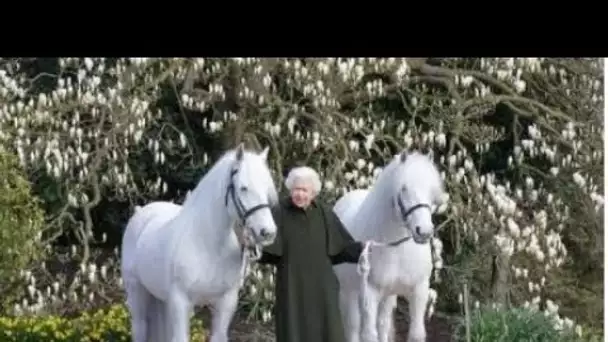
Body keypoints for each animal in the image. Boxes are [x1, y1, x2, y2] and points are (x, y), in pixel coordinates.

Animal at [119, 144, 280, 342]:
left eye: (267, 189)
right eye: (244, 188)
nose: (268, 232)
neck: (208, 245)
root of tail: (141, 212)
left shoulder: (225, 304)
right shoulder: (180, 302)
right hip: (137, 293)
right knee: (140, 327)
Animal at [334, 150, 444, 342]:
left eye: (431, 191)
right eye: (404, 189)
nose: (424, 231)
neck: (396, 248)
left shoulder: (419, 290)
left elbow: (415, 333)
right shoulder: (369, 293)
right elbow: (369, 335)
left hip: (387, 296)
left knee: (383, 324)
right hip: (349, 292)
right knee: (353, 328)